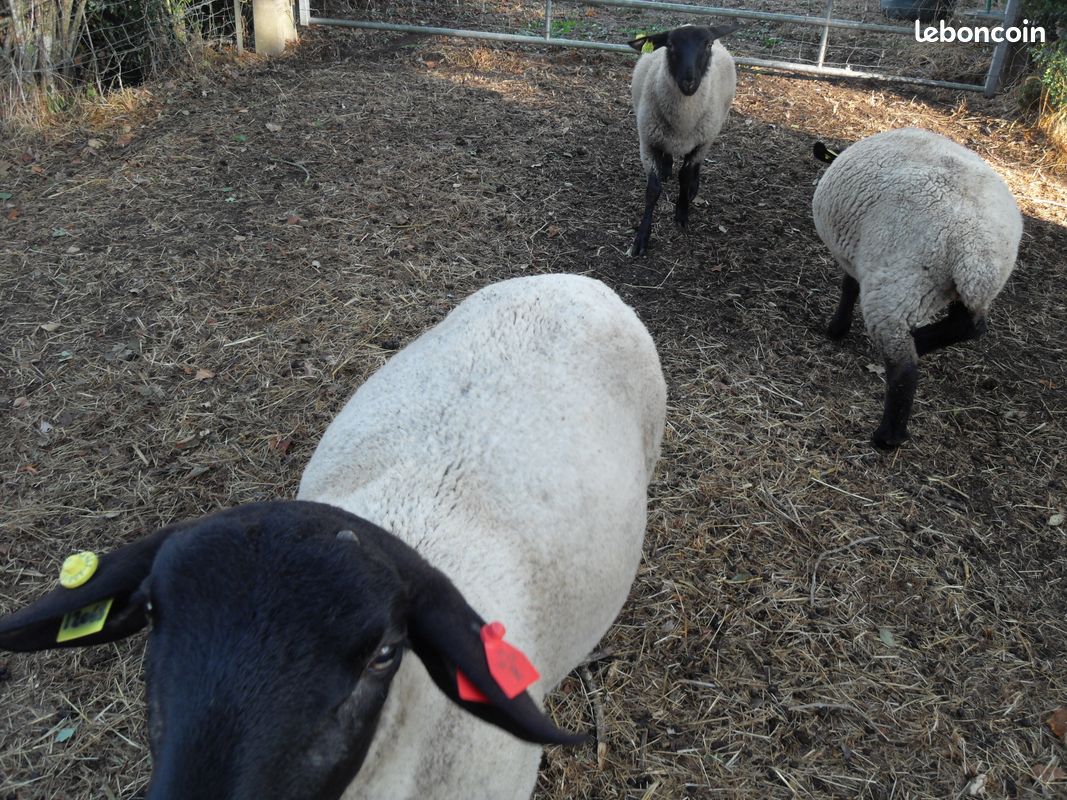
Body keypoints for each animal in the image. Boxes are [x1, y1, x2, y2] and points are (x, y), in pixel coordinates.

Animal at [627, 21, 740, 257]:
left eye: (707, 44)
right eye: (670, 45)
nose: (689, 82)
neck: (683, 121)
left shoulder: (700, 142)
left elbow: (685, 177)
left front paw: (682, 213)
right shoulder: (648, 141)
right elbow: (653, 190)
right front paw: (641, 237)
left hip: (710, 134)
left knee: (696, 166)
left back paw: (692, 188)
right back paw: (667, 167)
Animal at [811, 127, 1022, 449]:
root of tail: (976, 252)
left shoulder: (856, 256)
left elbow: (849, 287)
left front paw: (836, 329)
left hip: (897, 286)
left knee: (905, 370)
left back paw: (887, 437)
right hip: (956, 288)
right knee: (970, 326)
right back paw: (921, 342)